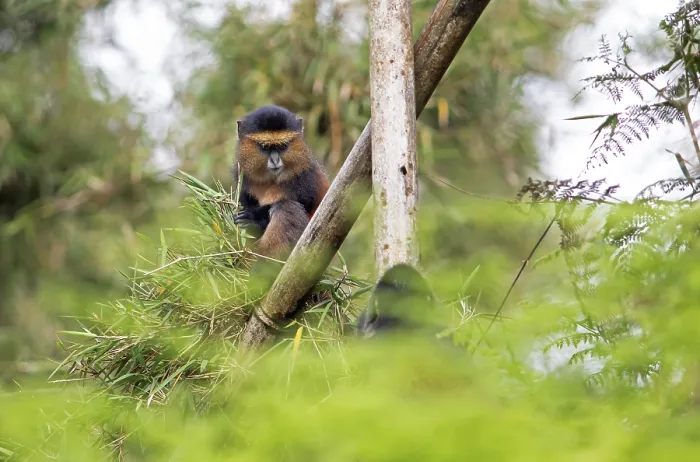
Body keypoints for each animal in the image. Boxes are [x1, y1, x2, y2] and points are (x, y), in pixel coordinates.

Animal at [232, 105, 330, 259]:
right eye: (265, 147)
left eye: (283, 146)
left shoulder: (306, 177)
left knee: (284, 208)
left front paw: (253, 219)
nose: (275, 160)